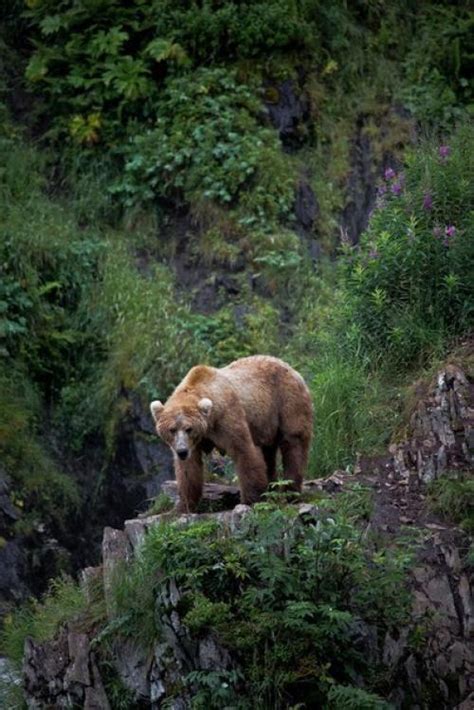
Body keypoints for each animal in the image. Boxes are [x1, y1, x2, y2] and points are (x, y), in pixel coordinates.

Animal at [150, 354, 312, 512]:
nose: (182, 451)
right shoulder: (194, 444)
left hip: (286, 401)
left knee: (293, 443)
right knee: (269, 453)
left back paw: (291, 492)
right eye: (172, 429)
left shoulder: (227, 417)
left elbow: (244, 451)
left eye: (189, 429)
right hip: (266, 422)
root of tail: (290, 367)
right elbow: (188, 469)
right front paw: (184, 505)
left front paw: (250, 500)